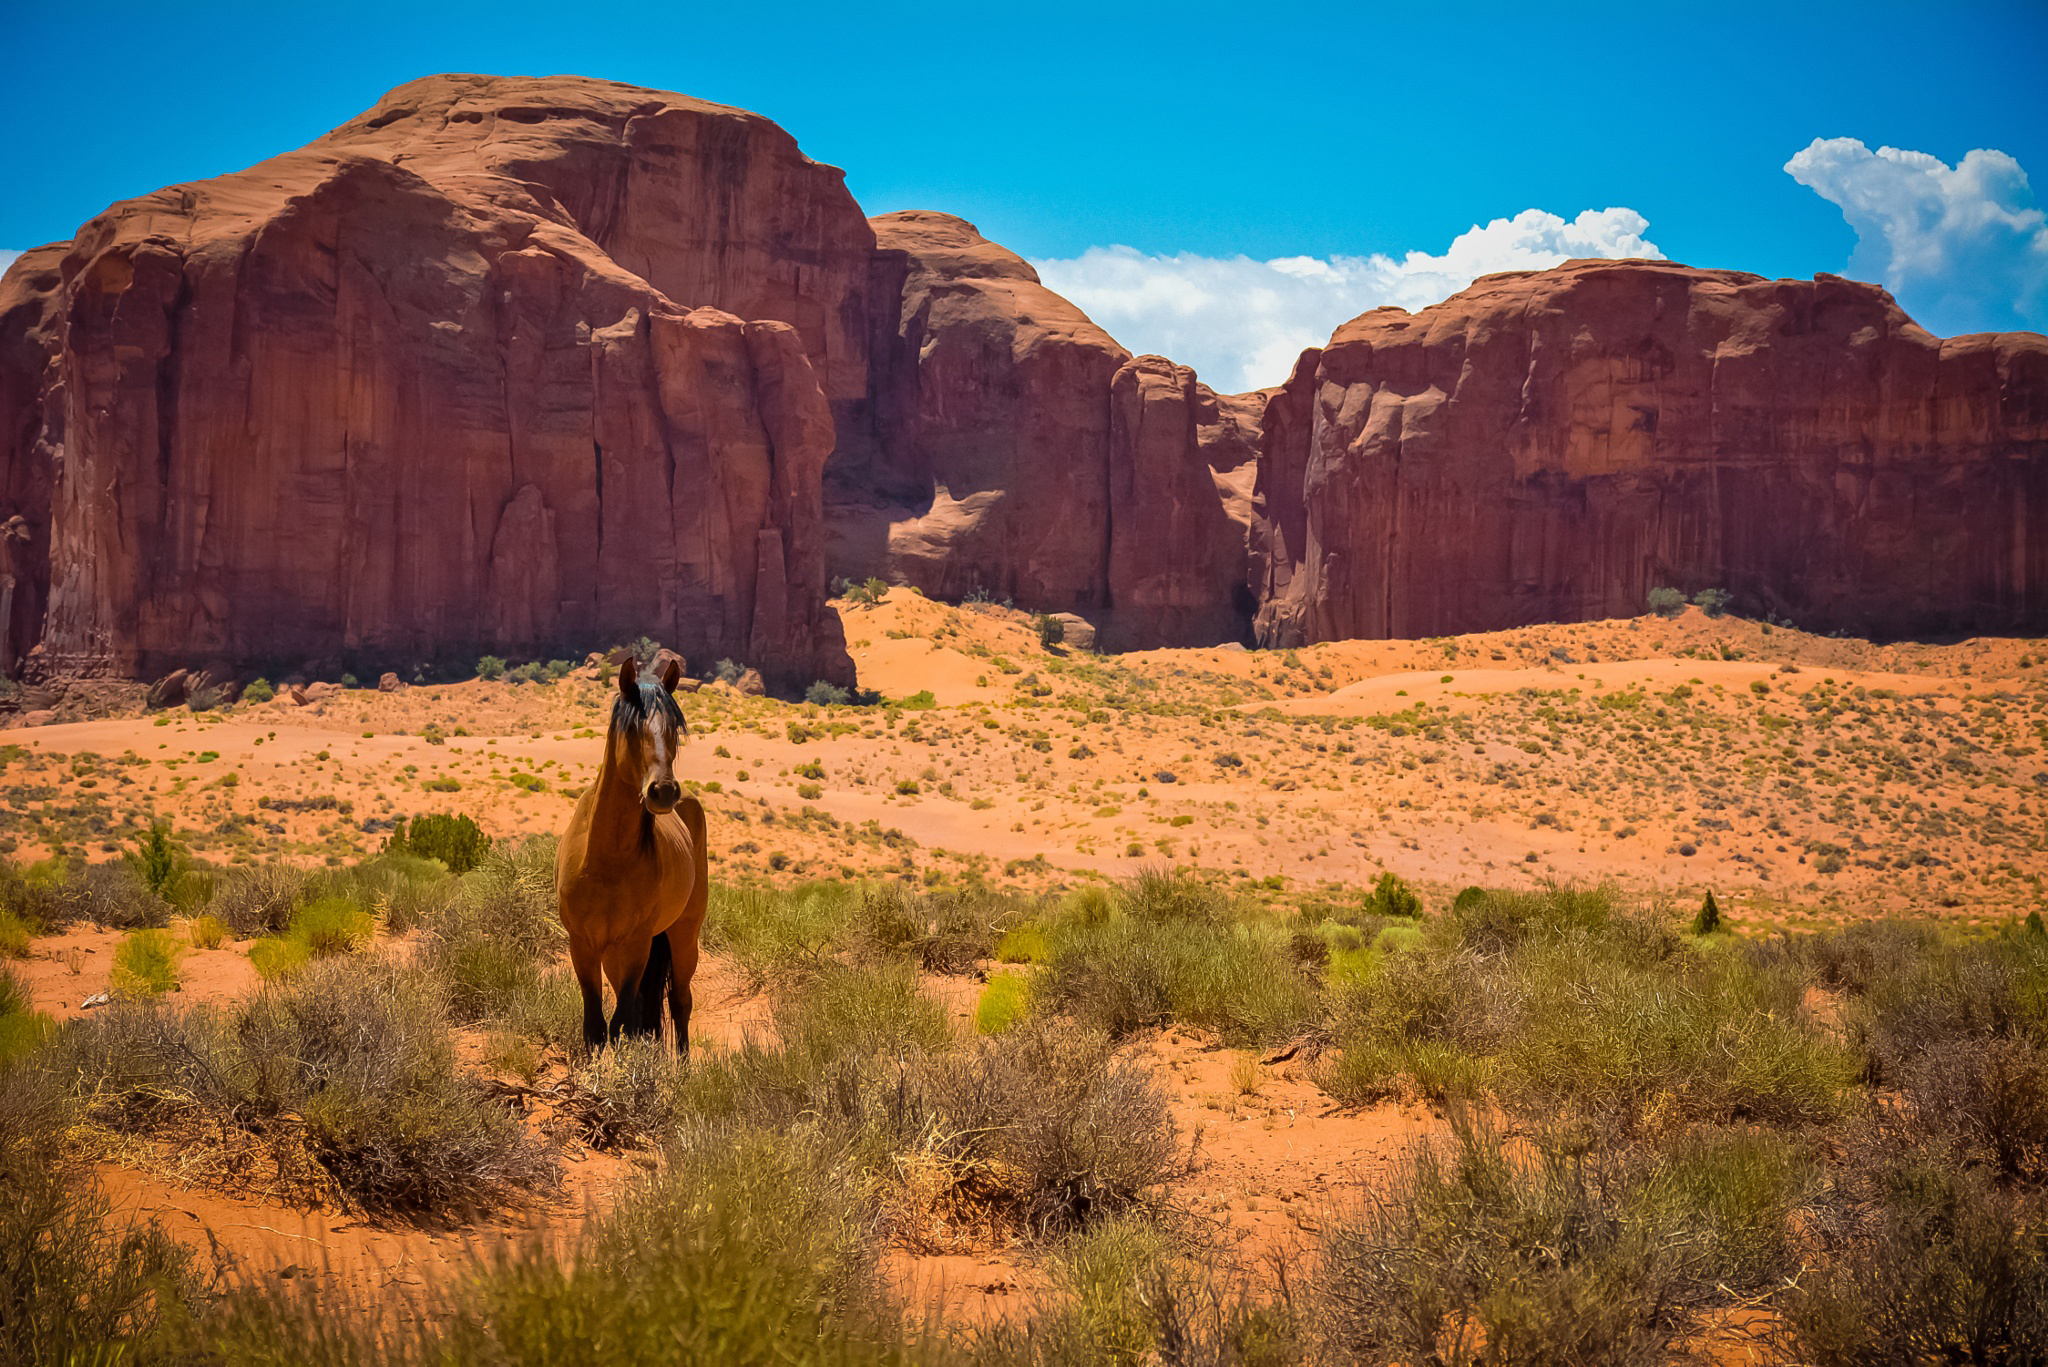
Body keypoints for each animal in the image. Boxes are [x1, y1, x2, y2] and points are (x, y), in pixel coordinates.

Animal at [557, 655, 708, 1057]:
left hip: (683, 934)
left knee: (680, 1001)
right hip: (614, 954)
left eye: (675, 729)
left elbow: (621, 1022)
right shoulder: (583, 944)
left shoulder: (637, 943)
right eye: (632, 729)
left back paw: (682, 1067)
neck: (606, 860)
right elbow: (596, 1028)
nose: (663, 791)